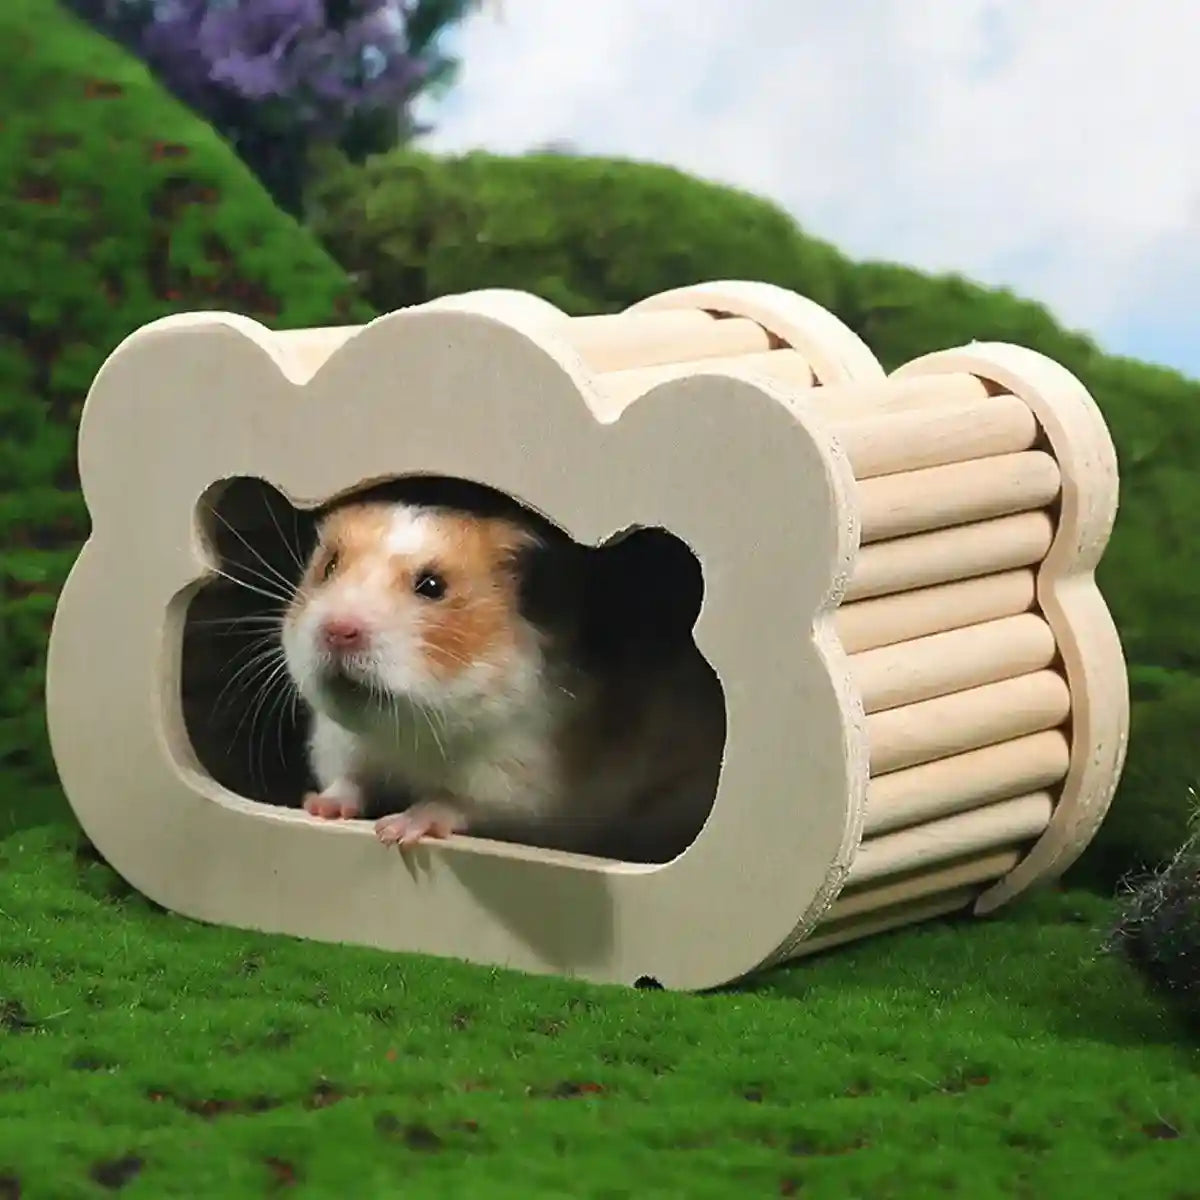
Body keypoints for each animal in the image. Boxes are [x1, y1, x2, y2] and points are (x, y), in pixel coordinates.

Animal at [279, 494, 725, 862]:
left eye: (432, 586)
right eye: (329, 566)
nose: (337, 630)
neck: (408, 736)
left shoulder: (514, 778)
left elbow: (450, 802)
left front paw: (396, 830)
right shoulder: (342, 744)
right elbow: (349, 781)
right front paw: (317, 805)